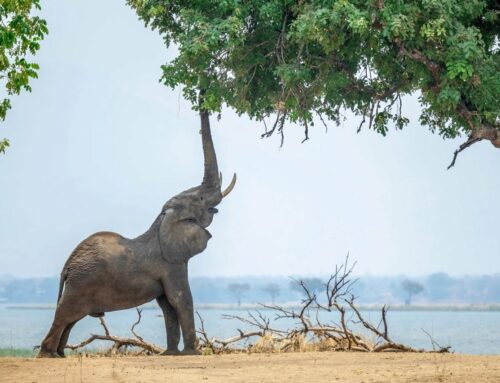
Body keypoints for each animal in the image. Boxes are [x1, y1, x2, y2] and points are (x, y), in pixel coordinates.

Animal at [37, 109, 236, 360]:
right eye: (200, 199)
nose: (204, 104)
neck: (161, 221)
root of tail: (66, 267)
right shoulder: (171, 265)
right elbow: (181, 299)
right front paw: (193, 353)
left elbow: (168, 306)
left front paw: (170, 354)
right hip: (81, 283)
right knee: (65, 315)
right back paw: (47, 355)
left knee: (70, 319)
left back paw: (60, 355)